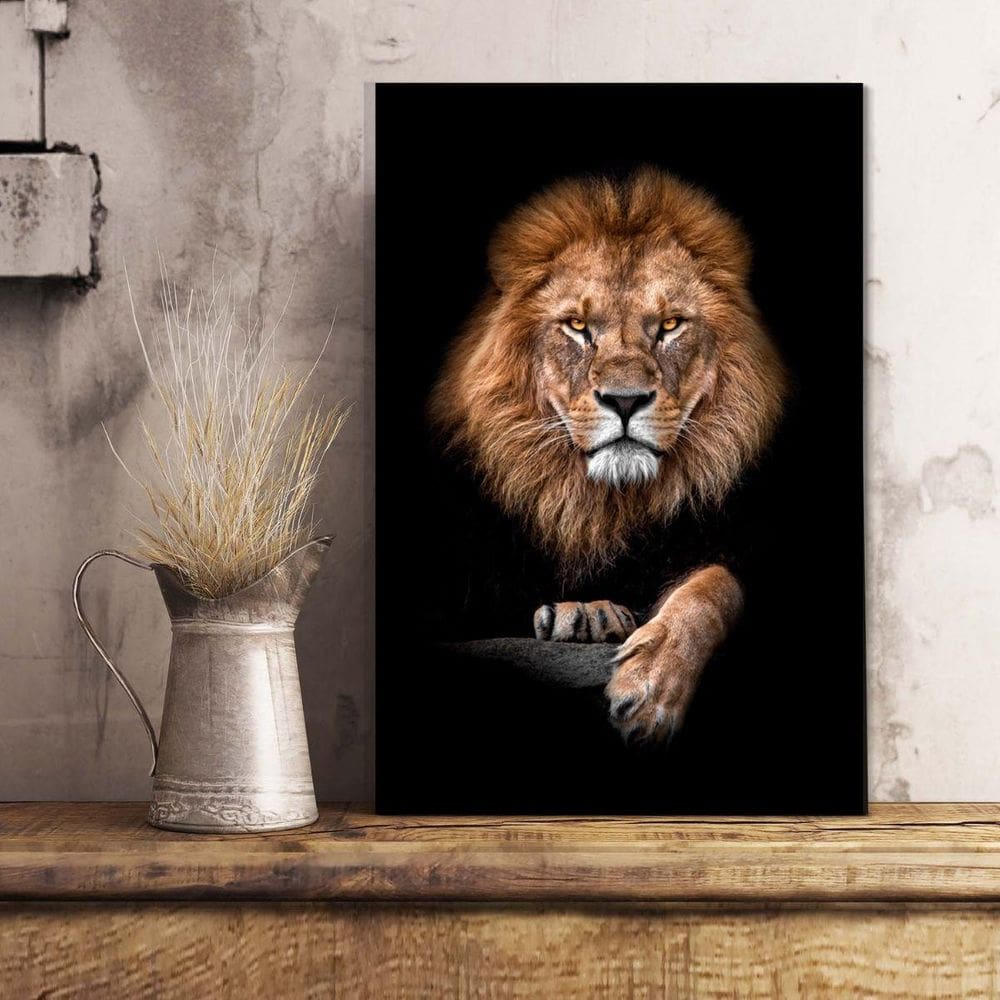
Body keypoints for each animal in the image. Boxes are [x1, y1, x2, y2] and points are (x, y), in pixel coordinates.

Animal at [429, 167, 787, 744]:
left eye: (670, 326)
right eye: (578, 327)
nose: (624, 400)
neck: (603, 505)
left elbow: (714, 586)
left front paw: (651, 686)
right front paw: (586, 613)